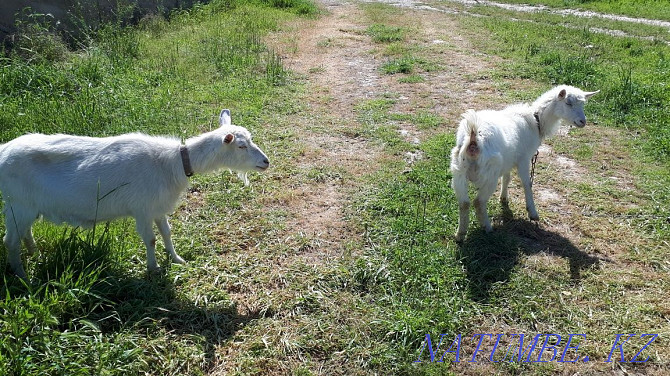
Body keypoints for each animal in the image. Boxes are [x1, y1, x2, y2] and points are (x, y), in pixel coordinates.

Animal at [3, 109, 270, 280]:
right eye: (241, 146)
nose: (266, 161)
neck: (171, 163)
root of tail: (3, 151)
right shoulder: (142, 209)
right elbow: (150, 239)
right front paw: (154, 269)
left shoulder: (158, 207)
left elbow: (166, 233)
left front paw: (177, 259)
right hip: (17, 204)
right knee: (10, 242)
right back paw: (24, 277)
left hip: (26, 208)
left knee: (25, 233)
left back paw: (35, 255)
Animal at [452, 85, 600, 241]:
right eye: (568, 103)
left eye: (583, 104)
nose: (583, 122)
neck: (536, 121)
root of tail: (473, 140)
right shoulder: (524, 158)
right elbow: (527, 183)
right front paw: (532, 212)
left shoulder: (509, 158)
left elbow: (507, 178)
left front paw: (503, 198)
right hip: (490, 172)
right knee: (478, 202)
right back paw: (487, 227)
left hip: (458, 170)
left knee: (464, 203)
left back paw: (460, 234)